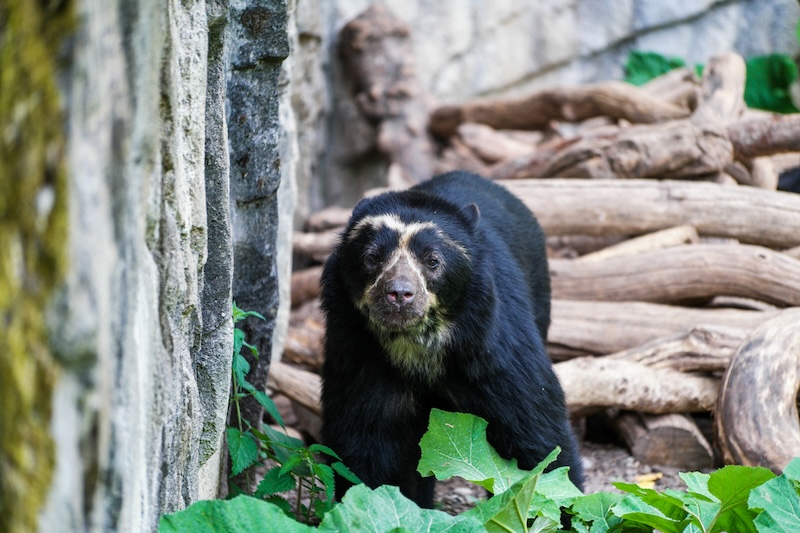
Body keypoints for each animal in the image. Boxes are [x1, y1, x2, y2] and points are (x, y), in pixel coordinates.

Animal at [318, 171, 580, 508]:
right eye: (372, 257)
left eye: (433, 261)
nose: (399, 294)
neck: (415, 344)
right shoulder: (359, 354)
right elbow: (366, 443)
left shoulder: (493, 351)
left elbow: (535, 433)